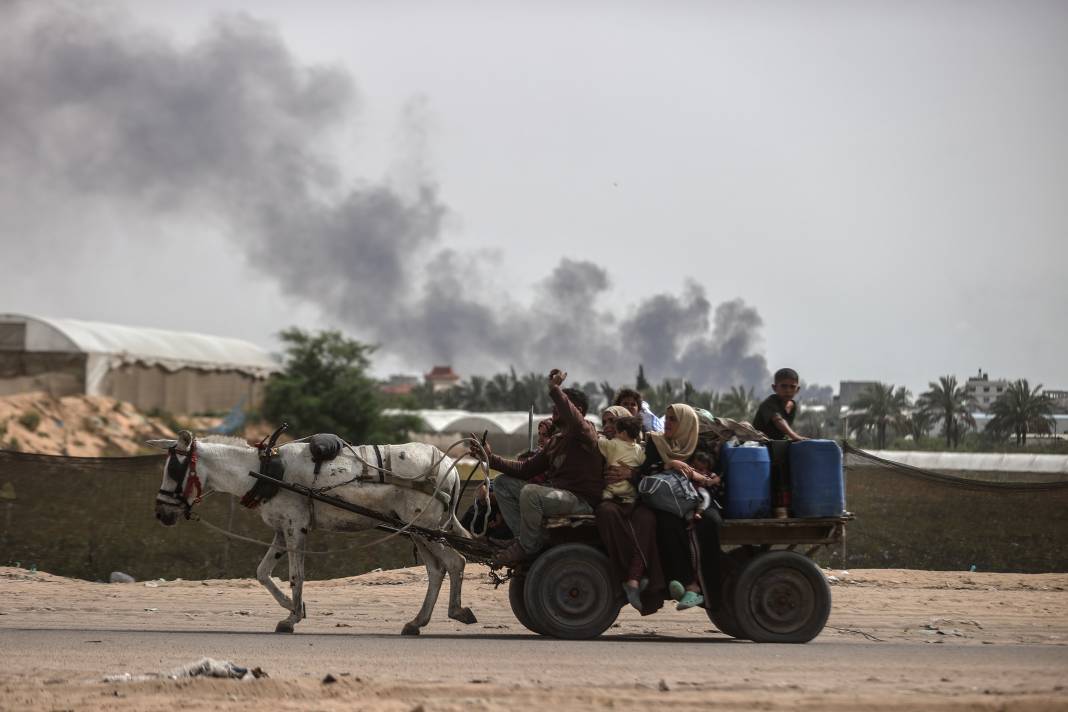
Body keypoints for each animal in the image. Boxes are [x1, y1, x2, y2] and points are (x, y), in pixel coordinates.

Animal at [152, 429, 478, 636]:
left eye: (175, 470)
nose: (160, 514)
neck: (266, 470)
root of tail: (450, 466)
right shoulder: (282, 529)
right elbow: (262, 572)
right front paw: (293, 606)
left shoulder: (296, 527)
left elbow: (296, 575)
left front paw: (291, 618)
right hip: (419, 530)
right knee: (436, 570)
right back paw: (416, 622)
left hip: (427, 528)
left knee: (455, 562)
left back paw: (457, 612)